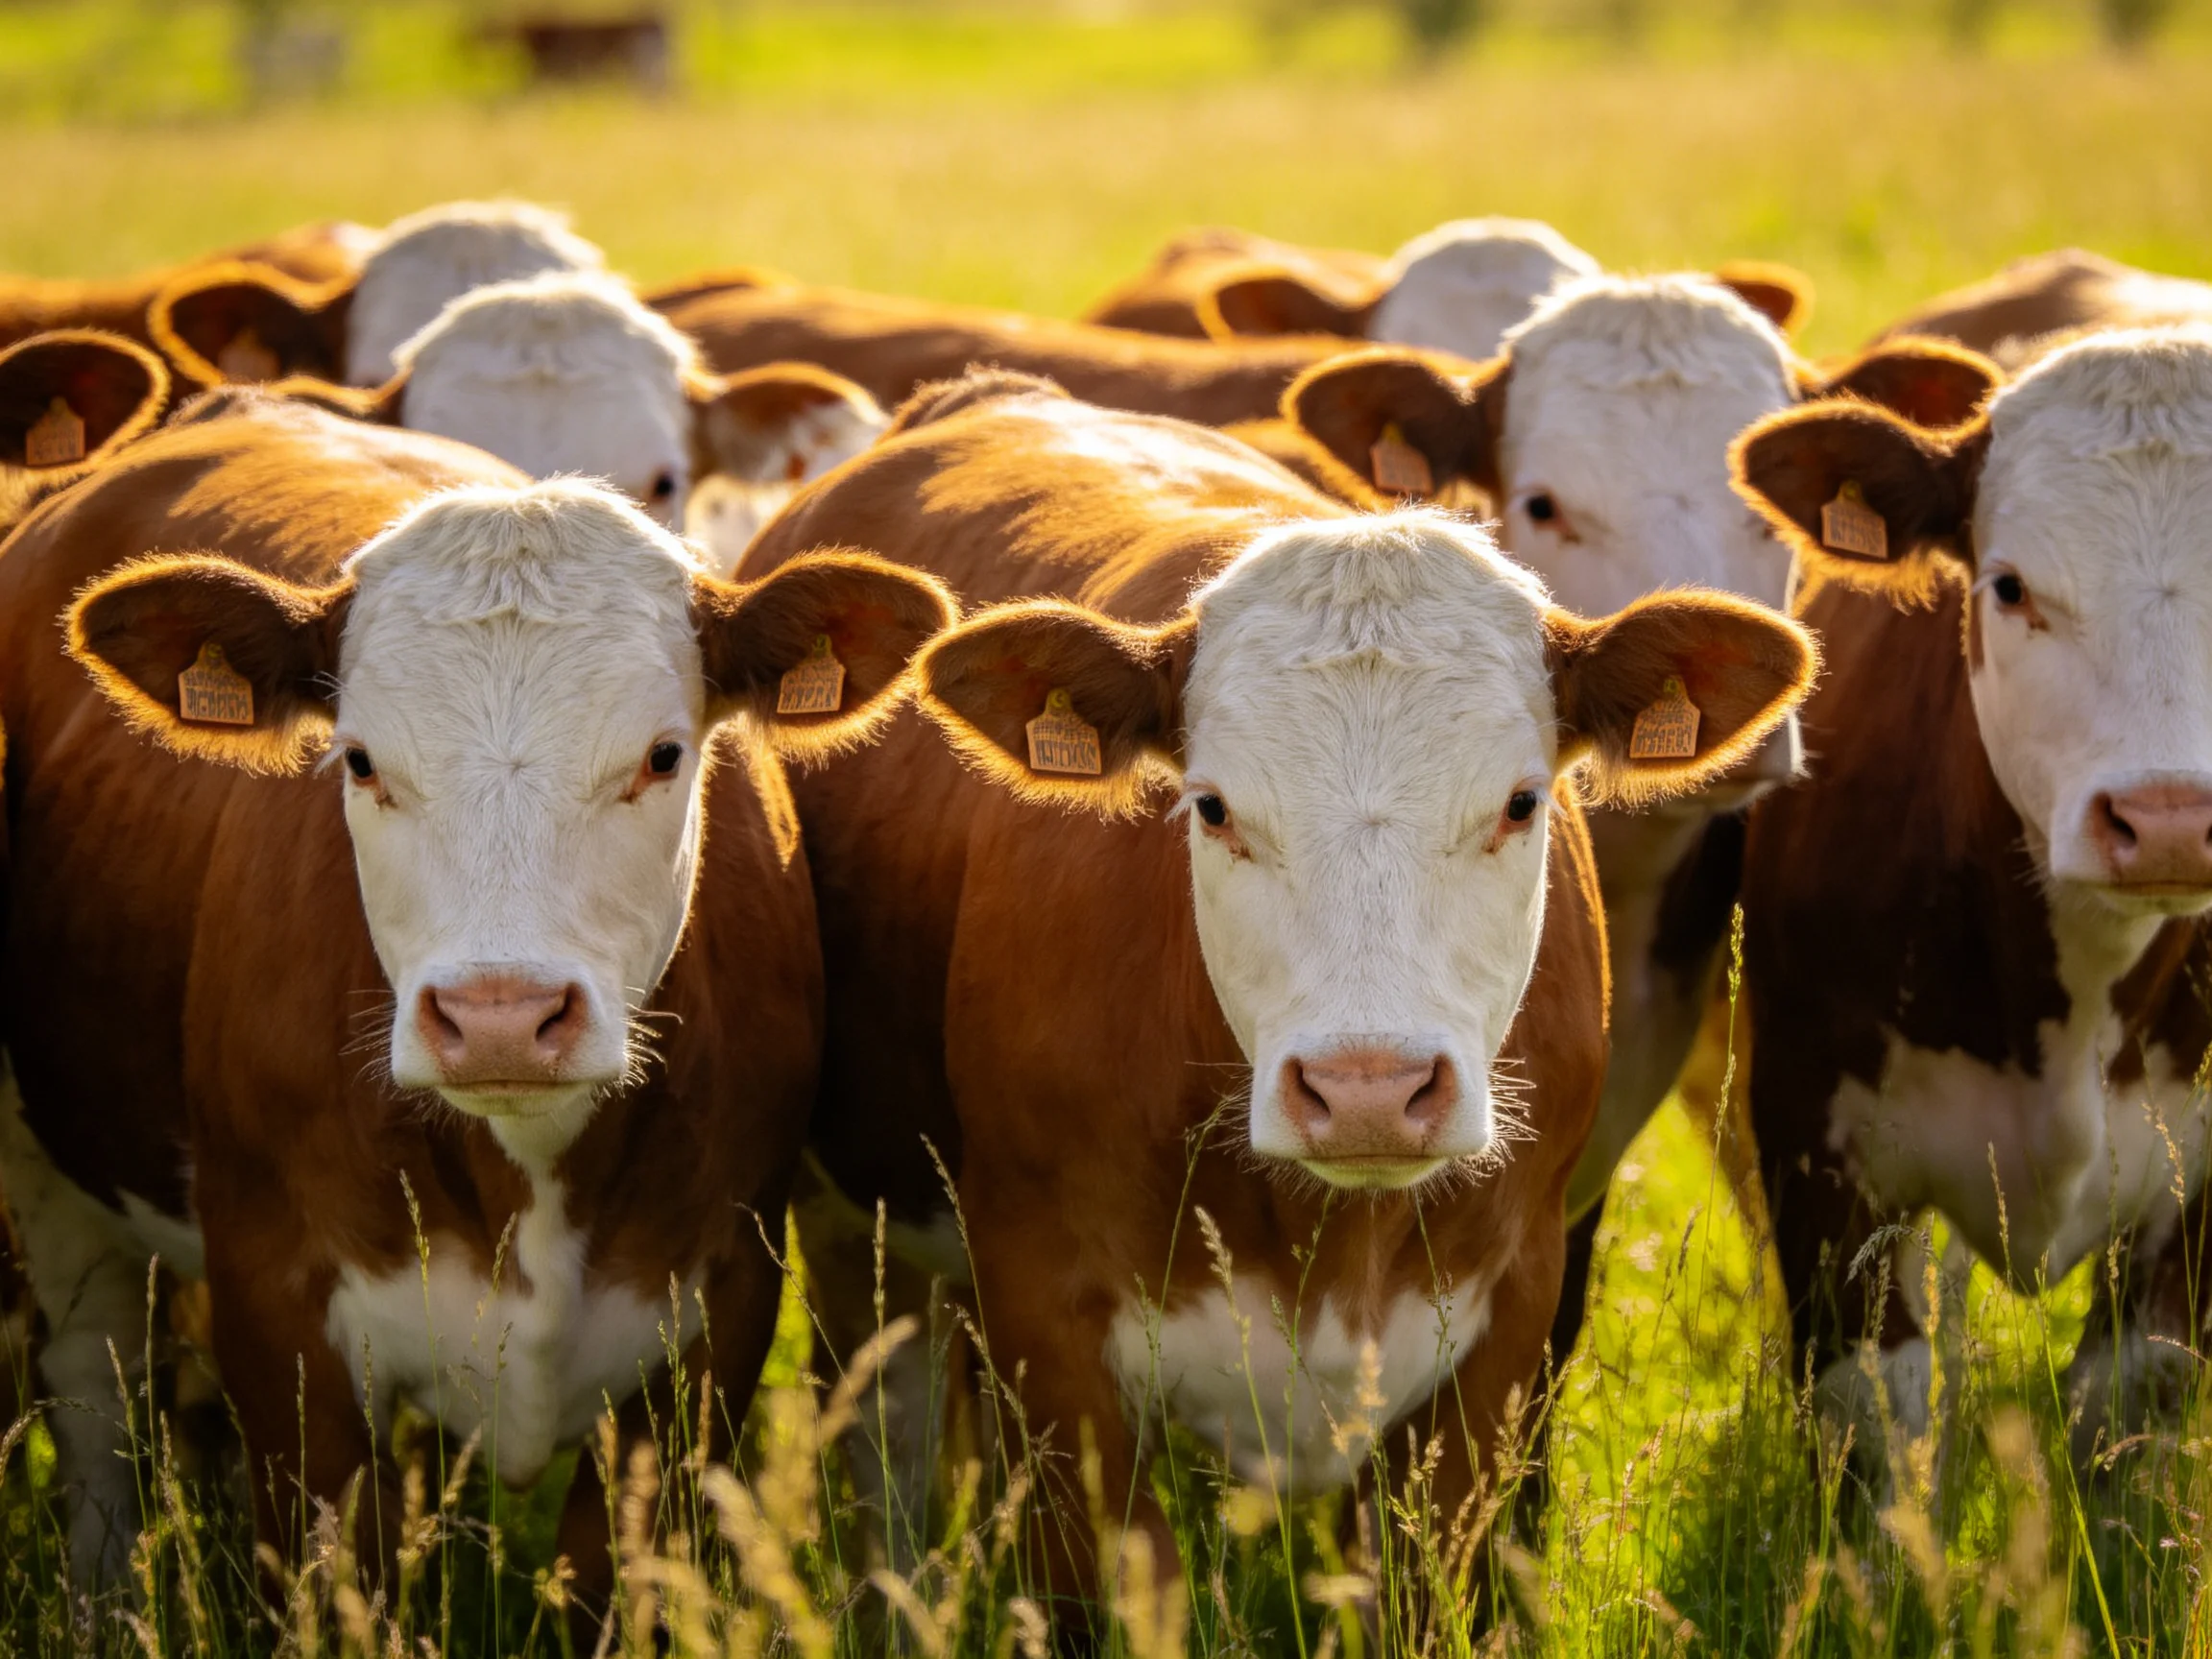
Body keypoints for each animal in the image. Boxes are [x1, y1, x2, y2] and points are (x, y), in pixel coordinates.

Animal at [0, 390, 952, 1589]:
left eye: (664, 754)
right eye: (360, 760)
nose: (501, 1018)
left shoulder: (718, 1312)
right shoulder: (278, 1316)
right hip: (51, 1181)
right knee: (94, 1391)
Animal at [741, 371, 1816, 1614]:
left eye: (1521, 801)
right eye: (1211, 807)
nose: (1367, 1091)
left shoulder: (1507, 1324)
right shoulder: (1047, 1329)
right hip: (852, 1238)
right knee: (889, 1446)